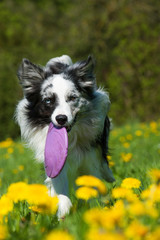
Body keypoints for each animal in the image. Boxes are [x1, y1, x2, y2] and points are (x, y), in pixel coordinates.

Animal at [15, 55, 115, 218]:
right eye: (48, 100)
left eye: (72, 98)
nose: (61, 118)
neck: (71, 137)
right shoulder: (54, 160)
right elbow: (60, 188)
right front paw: (63, 212)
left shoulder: (90, 158)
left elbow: (92, 181)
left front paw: (94, 208)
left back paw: (109, 175)